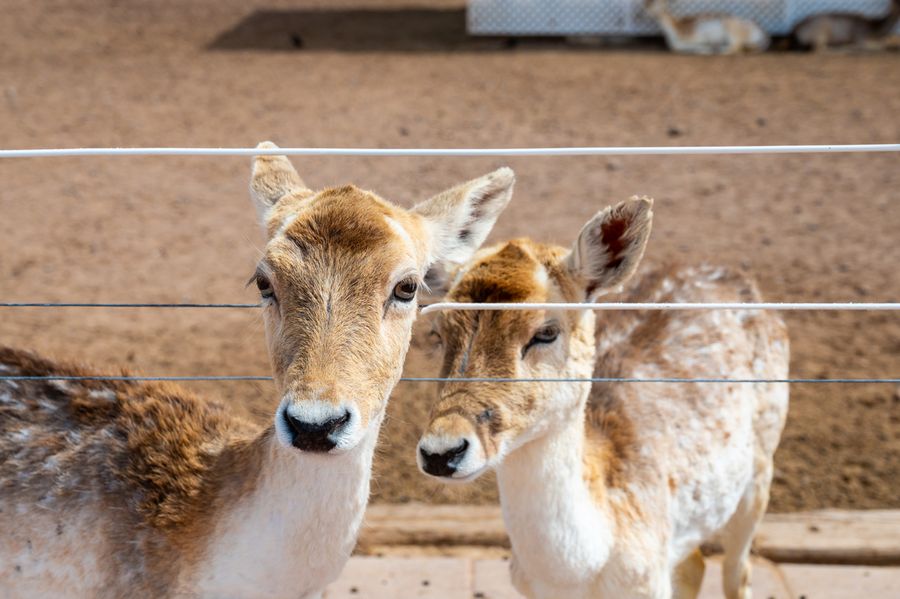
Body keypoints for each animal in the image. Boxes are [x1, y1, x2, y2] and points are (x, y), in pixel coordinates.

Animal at [414, 198, 788, 599]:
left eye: (546, 332)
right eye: (437, 333)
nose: (442, 451)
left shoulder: (647, 582)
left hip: (761, 464)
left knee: (738, 570)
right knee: (695, 564)